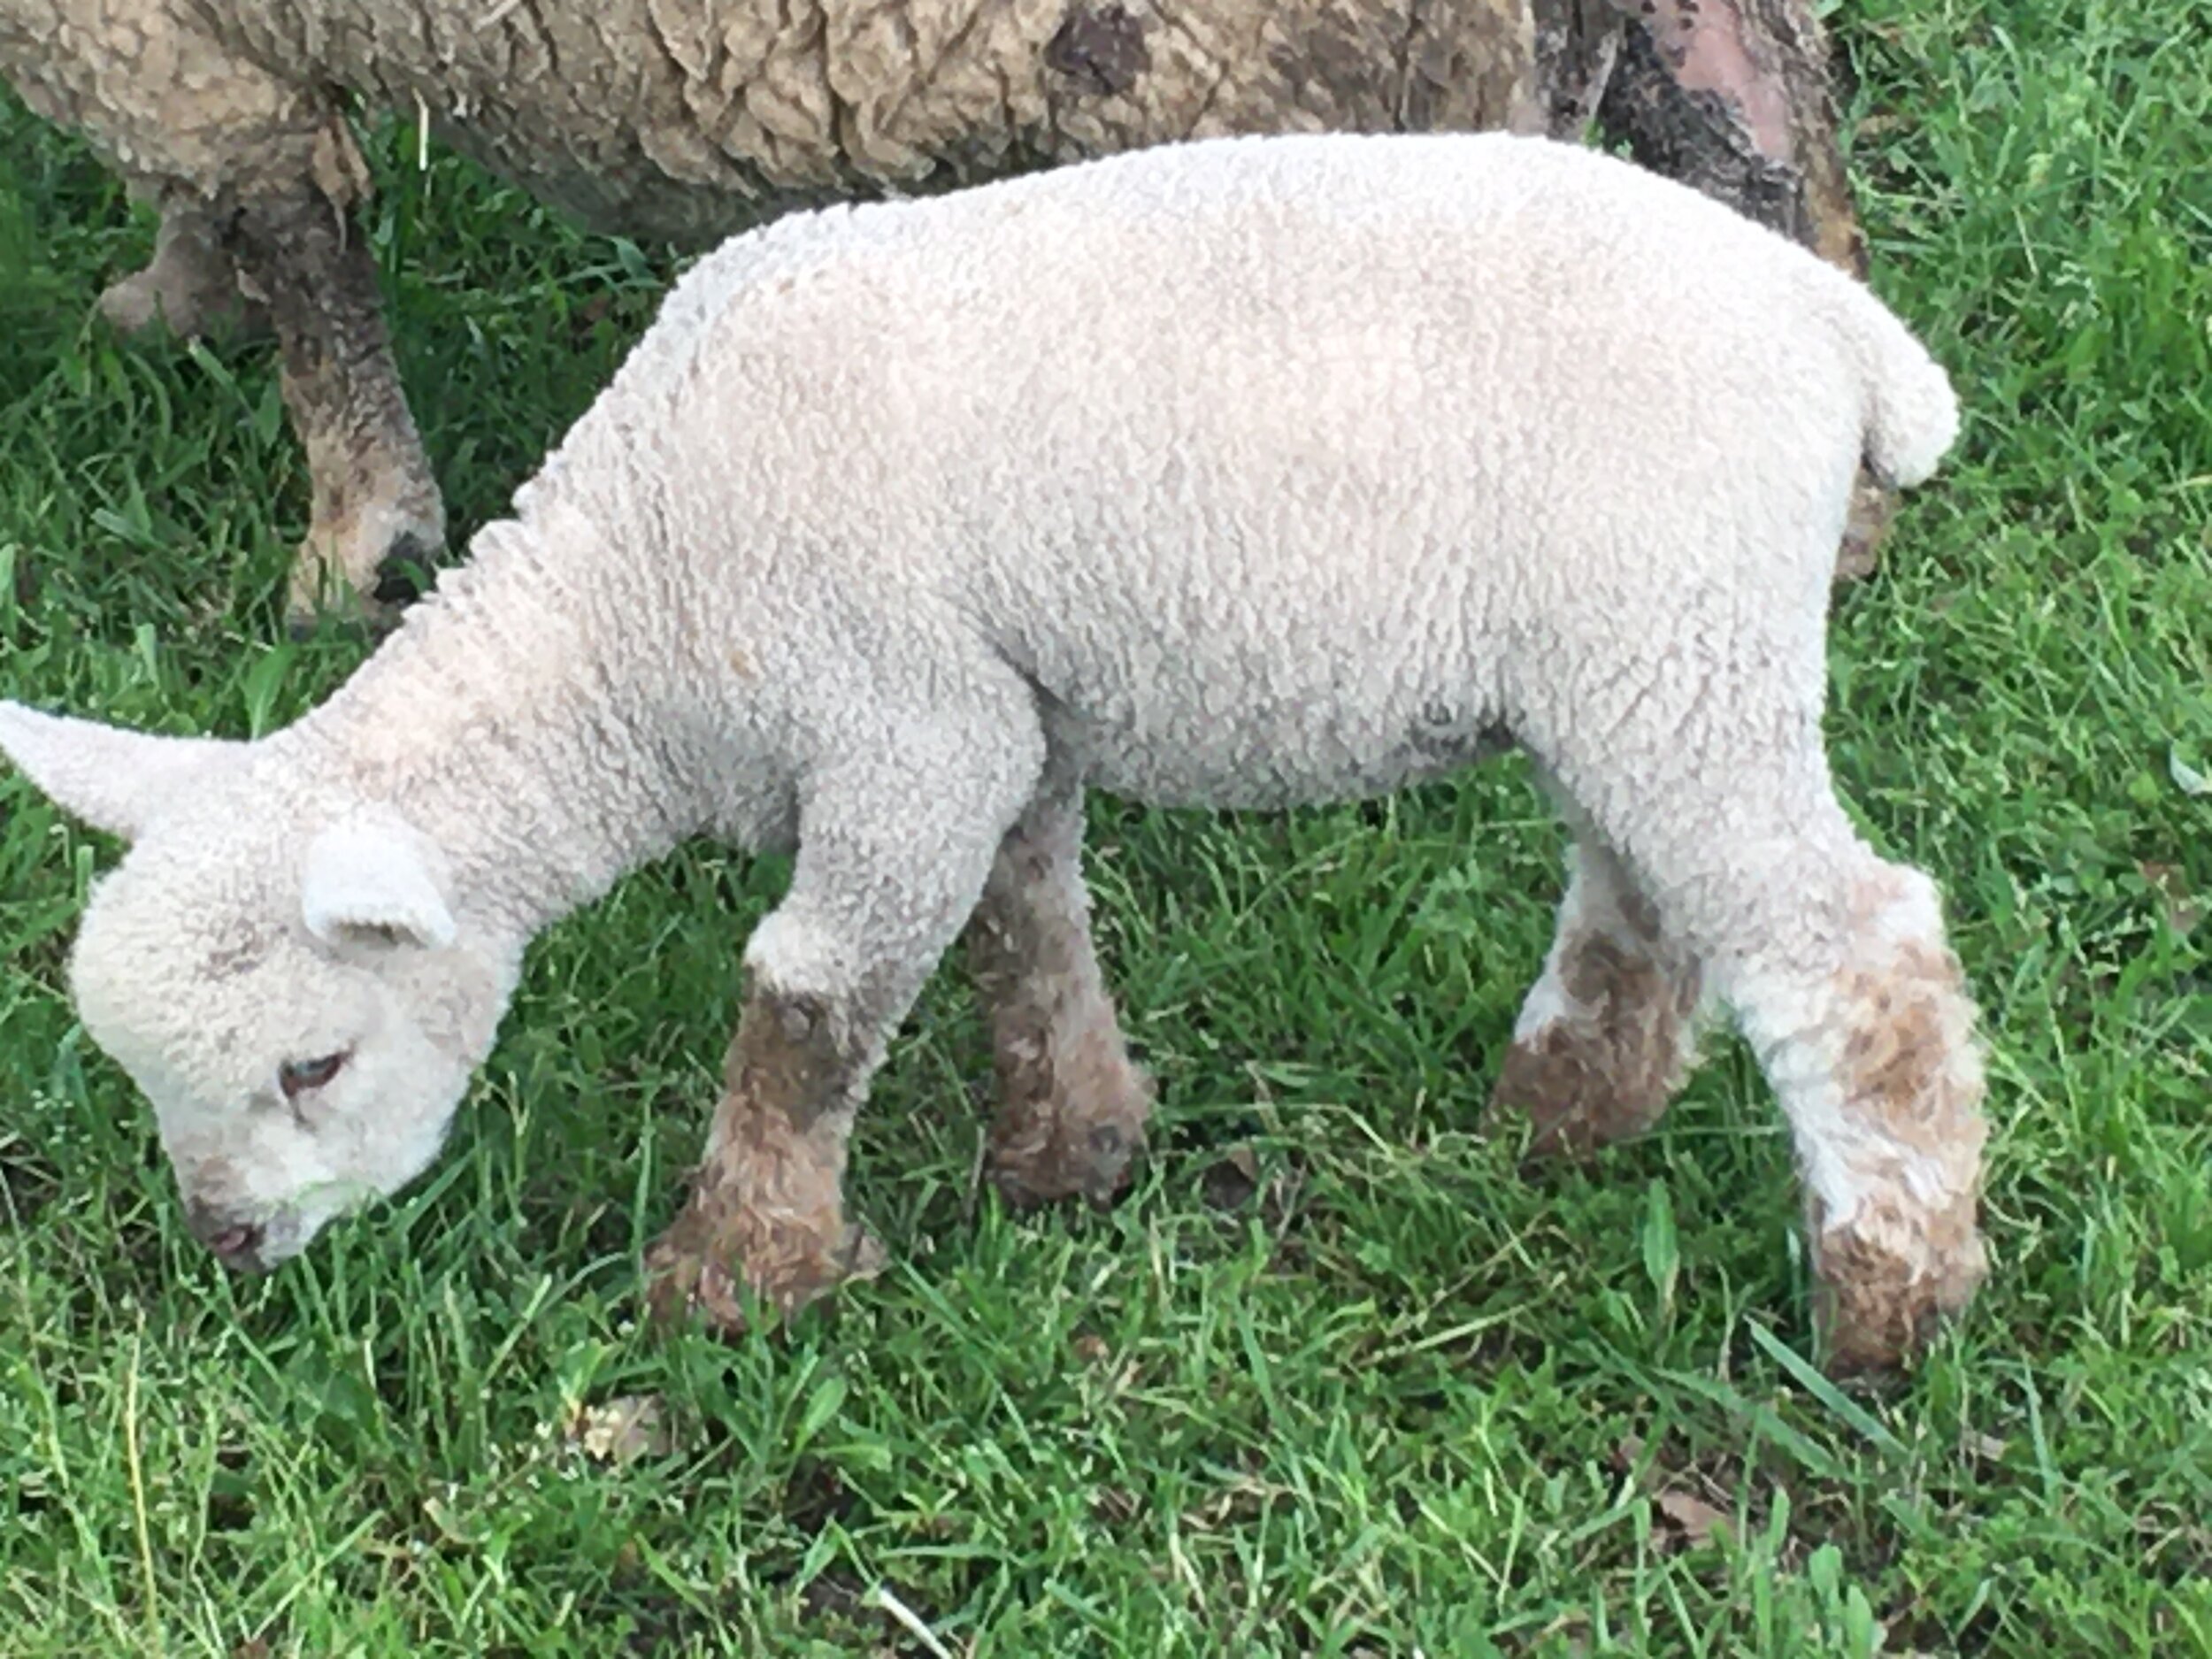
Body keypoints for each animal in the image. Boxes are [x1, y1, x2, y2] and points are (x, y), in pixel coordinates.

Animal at [0, 0, 1893, 629]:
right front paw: (163, 303)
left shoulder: (161, 41)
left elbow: (300, 251)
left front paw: (351, 552)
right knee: (1777, 149)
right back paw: (1848, 517)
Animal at [0, 131, 1987, 1375]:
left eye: (314, 1064)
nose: (228, 1250)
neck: (638, 616)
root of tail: (1844, 333)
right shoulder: (989, 719)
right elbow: (1021, 929)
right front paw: (1069, 1154)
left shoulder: (897, 722)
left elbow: (807, 1004)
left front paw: (734, 1281)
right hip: (1633, 663)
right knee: (1647, 889)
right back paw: (1568, 1114)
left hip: (1680, 632)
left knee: (1854, 949)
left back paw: (1888, 1307)